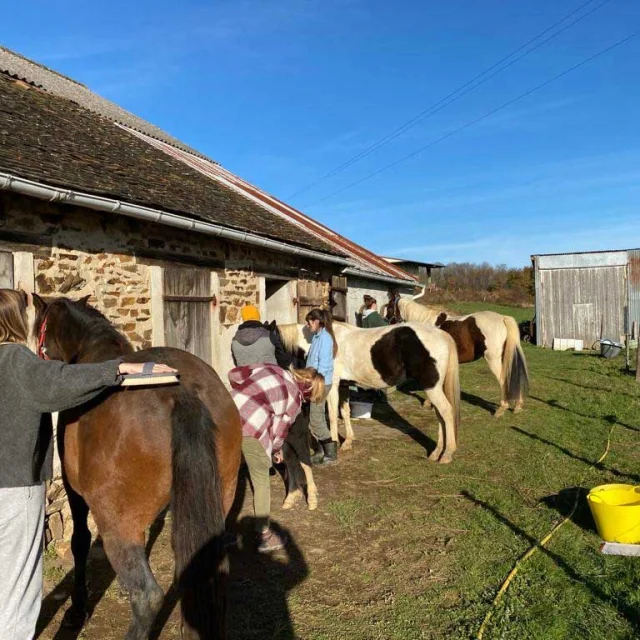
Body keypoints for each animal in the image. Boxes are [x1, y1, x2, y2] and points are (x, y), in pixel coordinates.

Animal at [32, 296, 242, 640]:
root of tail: (178, 392)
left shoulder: (76, 494)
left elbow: (80, 543)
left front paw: (77, 610)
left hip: (118, 525)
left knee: (147, 596)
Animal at [278, 322, 462, 462]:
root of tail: (442, 335)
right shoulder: (344, 385)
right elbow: (345, 412)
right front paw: (347, 442)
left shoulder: (333, 385)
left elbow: (332, 415)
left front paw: (334, 443)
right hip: (435, 388)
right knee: (440, 415)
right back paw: (436, 452)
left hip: (432, 388)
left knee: (446, 411)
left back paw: (447, 454)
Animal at [384, 294, 528, 418]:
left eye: (390, 307)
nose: (386, 322)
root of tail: (503, 318)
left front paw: (429, 403)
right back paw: (518, 406)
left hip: (493, 360)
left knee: (503, 379)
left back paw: (501, 409)